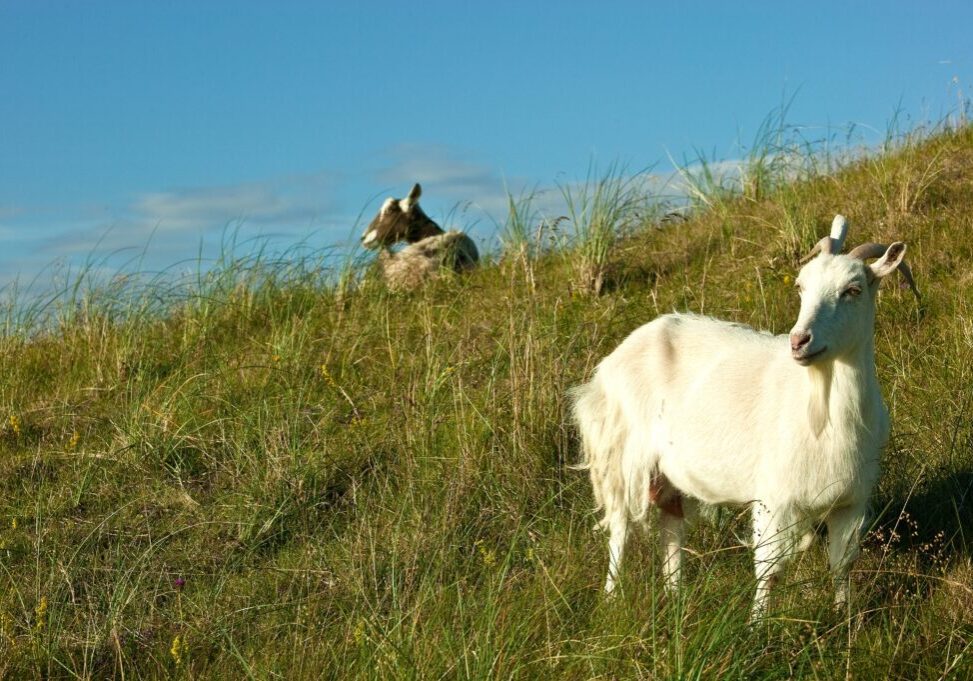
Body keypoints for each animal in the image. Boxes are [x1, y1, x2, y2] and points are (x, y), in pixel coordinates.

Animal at [564, 216, 916, 616]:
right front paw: (758, 624)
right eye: (800, 286)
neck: (822, 408)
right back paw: (612, 598)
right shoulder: (775, 498)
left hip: (667, 475)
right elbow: (770, 570)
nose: (799, 341)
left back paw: (676, 597)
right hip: (620, 457)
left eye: (853, 290)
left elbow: (842, 564)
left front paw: (845, 617)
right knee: (620, 529)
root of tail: (612, 360)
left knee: (671, 531)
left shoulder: (851, 501)